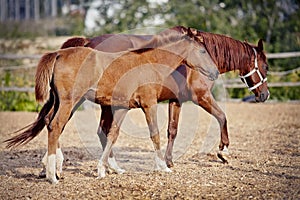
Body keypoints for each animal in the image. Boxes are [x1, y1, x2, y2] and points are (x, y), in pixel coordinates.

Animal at [4, 28, 219, 184]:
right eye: (202, 50)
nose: (215, 72)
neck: (150, 62)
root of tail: (58, 53)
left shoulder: (122, 106)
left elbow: (112, 134)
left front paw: (103, 169)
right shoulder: (149, 104)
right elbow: (154, 134)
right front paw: (163, 167)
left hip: (62, 101)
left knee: (50, 122)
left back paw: (56, 169)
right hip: (70, 101)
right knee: (56, 126)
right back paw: (51, 175)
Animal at [61, 25, 270, 170]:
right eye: (266, 67)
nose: (265, 94)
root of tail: (88, 42)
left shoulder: (176, 100)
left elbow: (172, 130)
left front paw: (168, 161)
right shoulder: (202, 97)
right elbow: (222, 117)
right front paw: (223, 151)